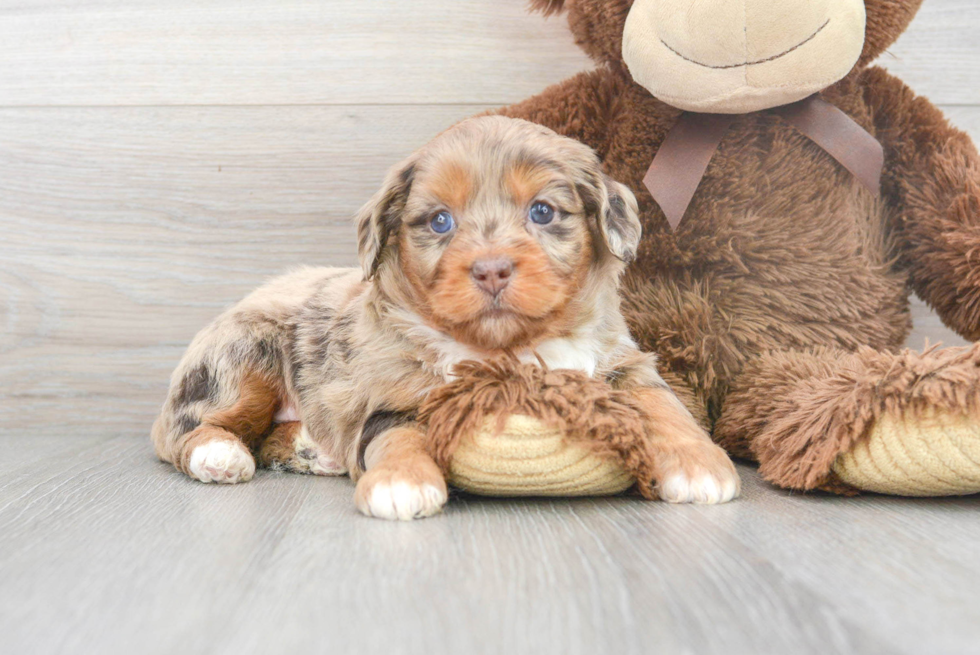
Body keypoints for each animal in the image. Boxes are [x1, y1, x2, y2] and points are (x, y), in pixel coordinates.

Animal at [151, 115, 736, 520]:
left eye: (543, 211)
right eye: (439, 221)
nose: (491, 269)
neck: (510, 349)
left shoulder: (623, 360)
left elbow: (664, 406)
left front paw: (700, 465)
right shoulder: (392, 399)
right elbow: (397, 438)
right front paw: (400, 484)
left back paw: (311, 451)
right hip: (242, 359)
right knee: (187, 430)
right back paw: (221, 456)